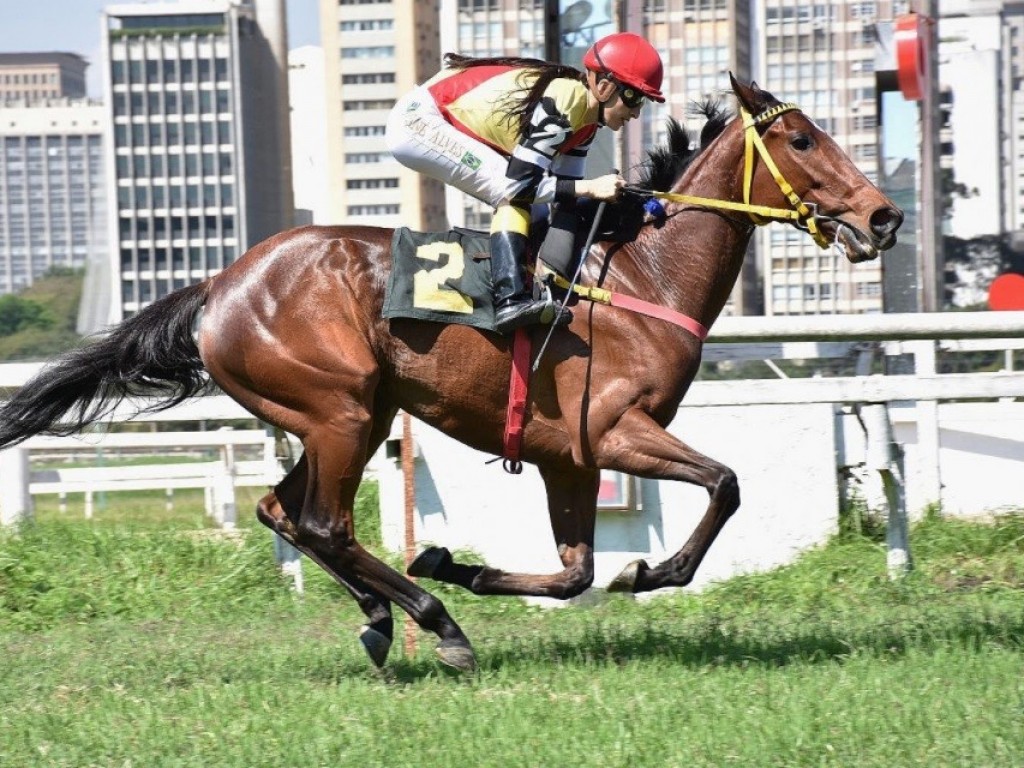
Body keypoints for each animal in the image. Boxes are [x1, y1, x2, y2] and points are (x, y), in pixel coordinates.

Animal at [0, 75, 897, 671]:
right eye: (803, 140)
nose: (883, 215)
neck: (644, 274)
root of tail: (221, 285)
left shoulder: (568, 457)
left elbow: (575, 573)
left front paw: (455, 562)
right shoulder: (614, 432)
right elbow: (724, 485)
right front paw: (652, 570)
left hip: (340, 418)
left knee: (282, 510)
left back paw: (380, 616)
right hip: (342, 410)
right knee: (324, 522)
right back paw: (438, 625)